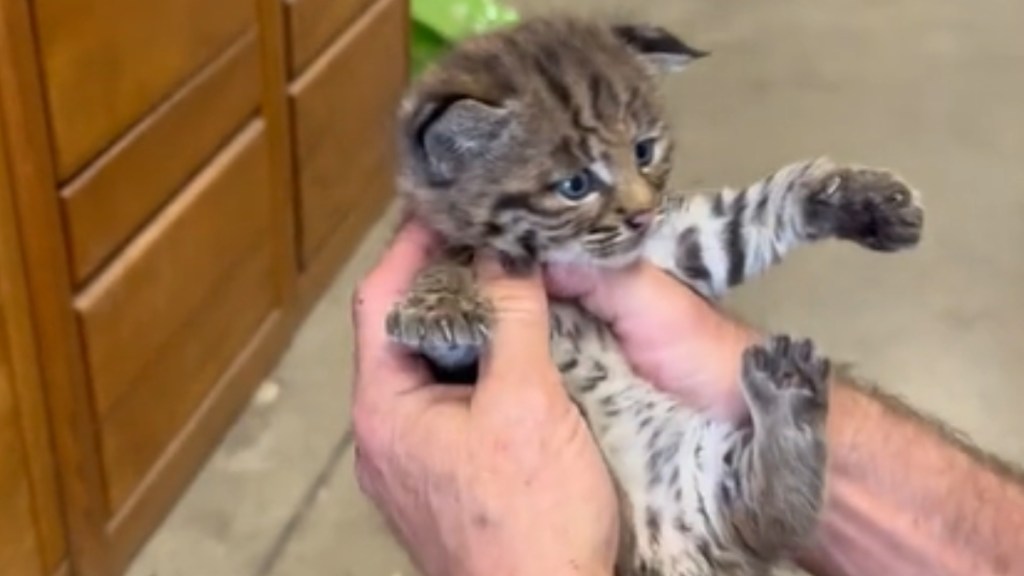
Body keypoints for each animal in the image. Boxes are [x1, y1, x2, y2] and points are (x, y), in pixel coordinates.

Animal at [382, 15, 921, 569]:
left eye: (645, 151)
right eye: (575, 186)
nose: (642, 214)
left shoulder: (677, 251)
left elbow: (748, 214)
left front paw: (861, 198)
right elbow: (445, 265)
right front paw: (439, 306)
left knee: (771, 519)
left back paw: (788, 396)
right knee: (766, 519)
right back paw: (786, 393)